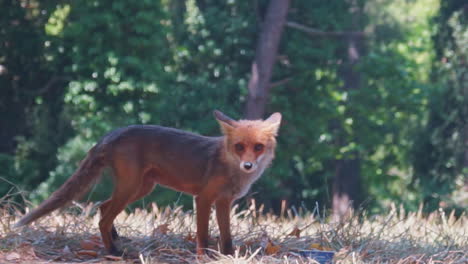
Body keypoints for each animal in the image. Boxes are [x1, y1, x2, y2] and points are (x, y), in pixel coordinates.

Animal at [14, 110, 282, 256]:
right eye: (239, 147)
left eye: (258, 147)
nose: (248, 166)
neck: (230, 168)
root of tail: (112, 133)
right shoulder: (204, 198)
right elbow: (203, 234)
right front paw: (202, 256)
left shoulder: (224, 202)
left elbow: (226, 236)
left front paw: (228, 256)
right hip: (131, 188)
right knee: (103, 218)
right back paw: (114, 252)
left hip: (140, 188)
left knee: (102, 206)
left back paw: (116, 239)